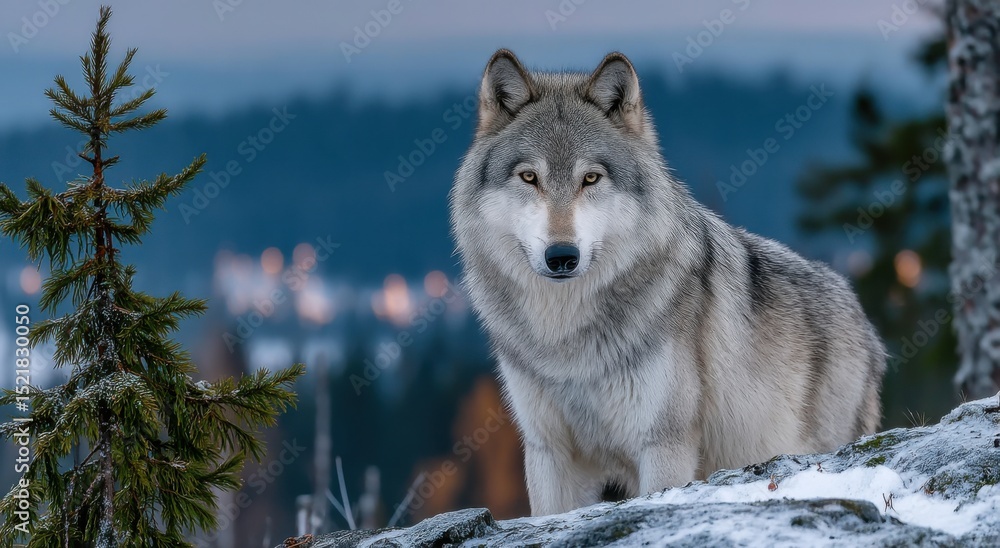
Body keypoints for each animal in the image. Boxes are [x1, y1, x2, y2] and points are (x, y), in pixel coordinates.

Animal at [450, 49, 885, 517]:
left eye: (591, 178)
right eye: (529, 177)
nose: (562, 256)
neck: (565, 336)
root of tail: (863, 318)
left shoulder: (664, 445)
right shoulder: (549, 451)